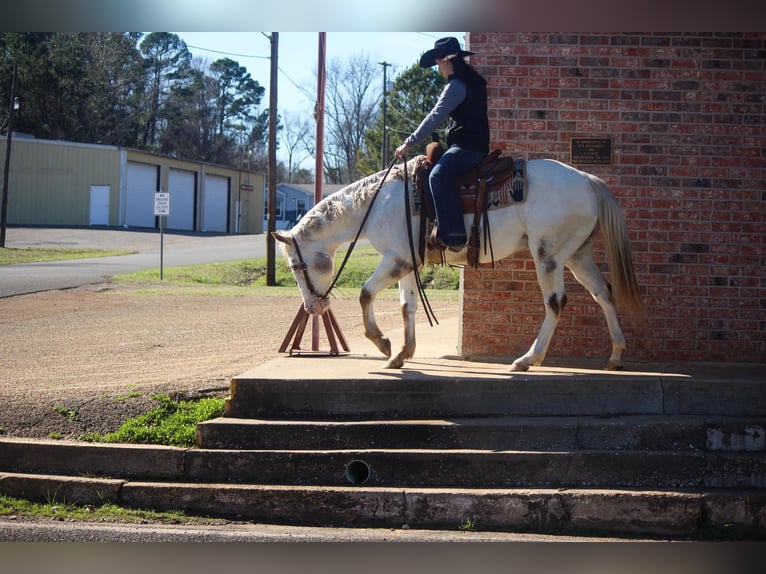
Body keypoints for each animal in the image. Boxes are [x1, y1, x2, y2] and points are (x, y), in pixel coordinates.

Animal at [272, 158, 644, 374]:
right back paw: (616, 355)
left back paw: (528, 359)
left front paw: (383, 344)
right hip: (578, 254)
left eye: (295, 266)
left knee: (555, 303)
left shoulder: (396, 258)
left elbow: (365, 294)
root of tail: (588, 180)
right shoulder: (407, 261)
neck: (379, 203)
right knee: (603, 294)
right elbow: (407, 306)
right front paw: (402, 353)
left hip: (548, 254)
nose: (313, 308)